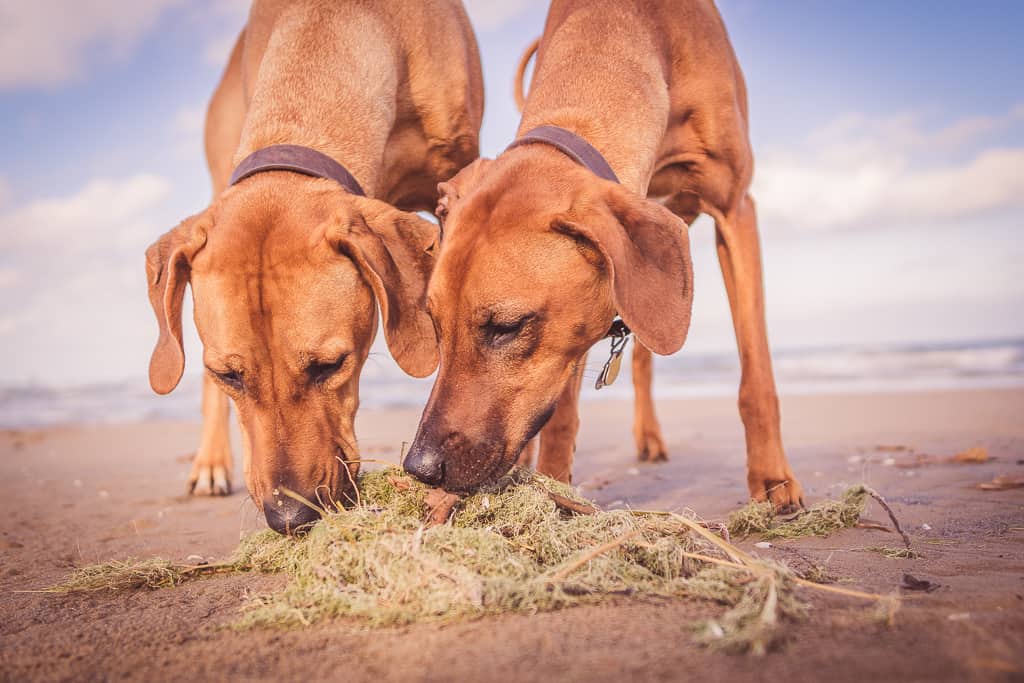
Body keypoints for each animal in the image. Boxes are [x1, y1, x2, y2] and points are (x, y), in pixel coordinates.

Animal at [403, 0, 802, 511]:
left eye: (507, 327)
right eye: (433, 323)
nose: (420, 467)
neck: (627, 29)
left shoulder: (735, 209)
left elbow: (757, 376)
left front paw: (772, 479)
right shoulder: (575, 326)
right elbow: (562, 415)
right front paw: (554, 489)